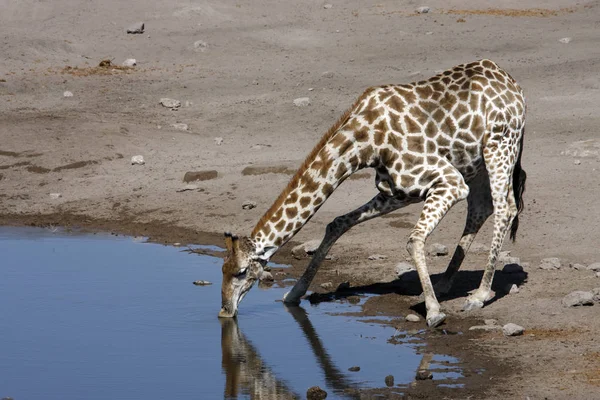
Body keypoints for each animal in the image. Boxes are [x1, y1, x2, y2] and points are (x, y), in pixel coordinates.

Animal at [219, 59, 524, 328]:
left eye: (241, 272)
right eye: (222, 269)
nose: (224, 311)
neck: (366, 142)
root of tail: (512, 83)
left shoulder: (449, 181)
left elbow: (414, 240)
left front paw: (434, 313)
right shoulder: (399, 190)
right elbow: (337, 223)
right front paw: (294, 294)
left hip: (500, 145)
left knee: (504, 208)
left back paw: (479, 295)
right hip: (476, 161)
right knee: (482, 207)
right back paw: (445, 283)